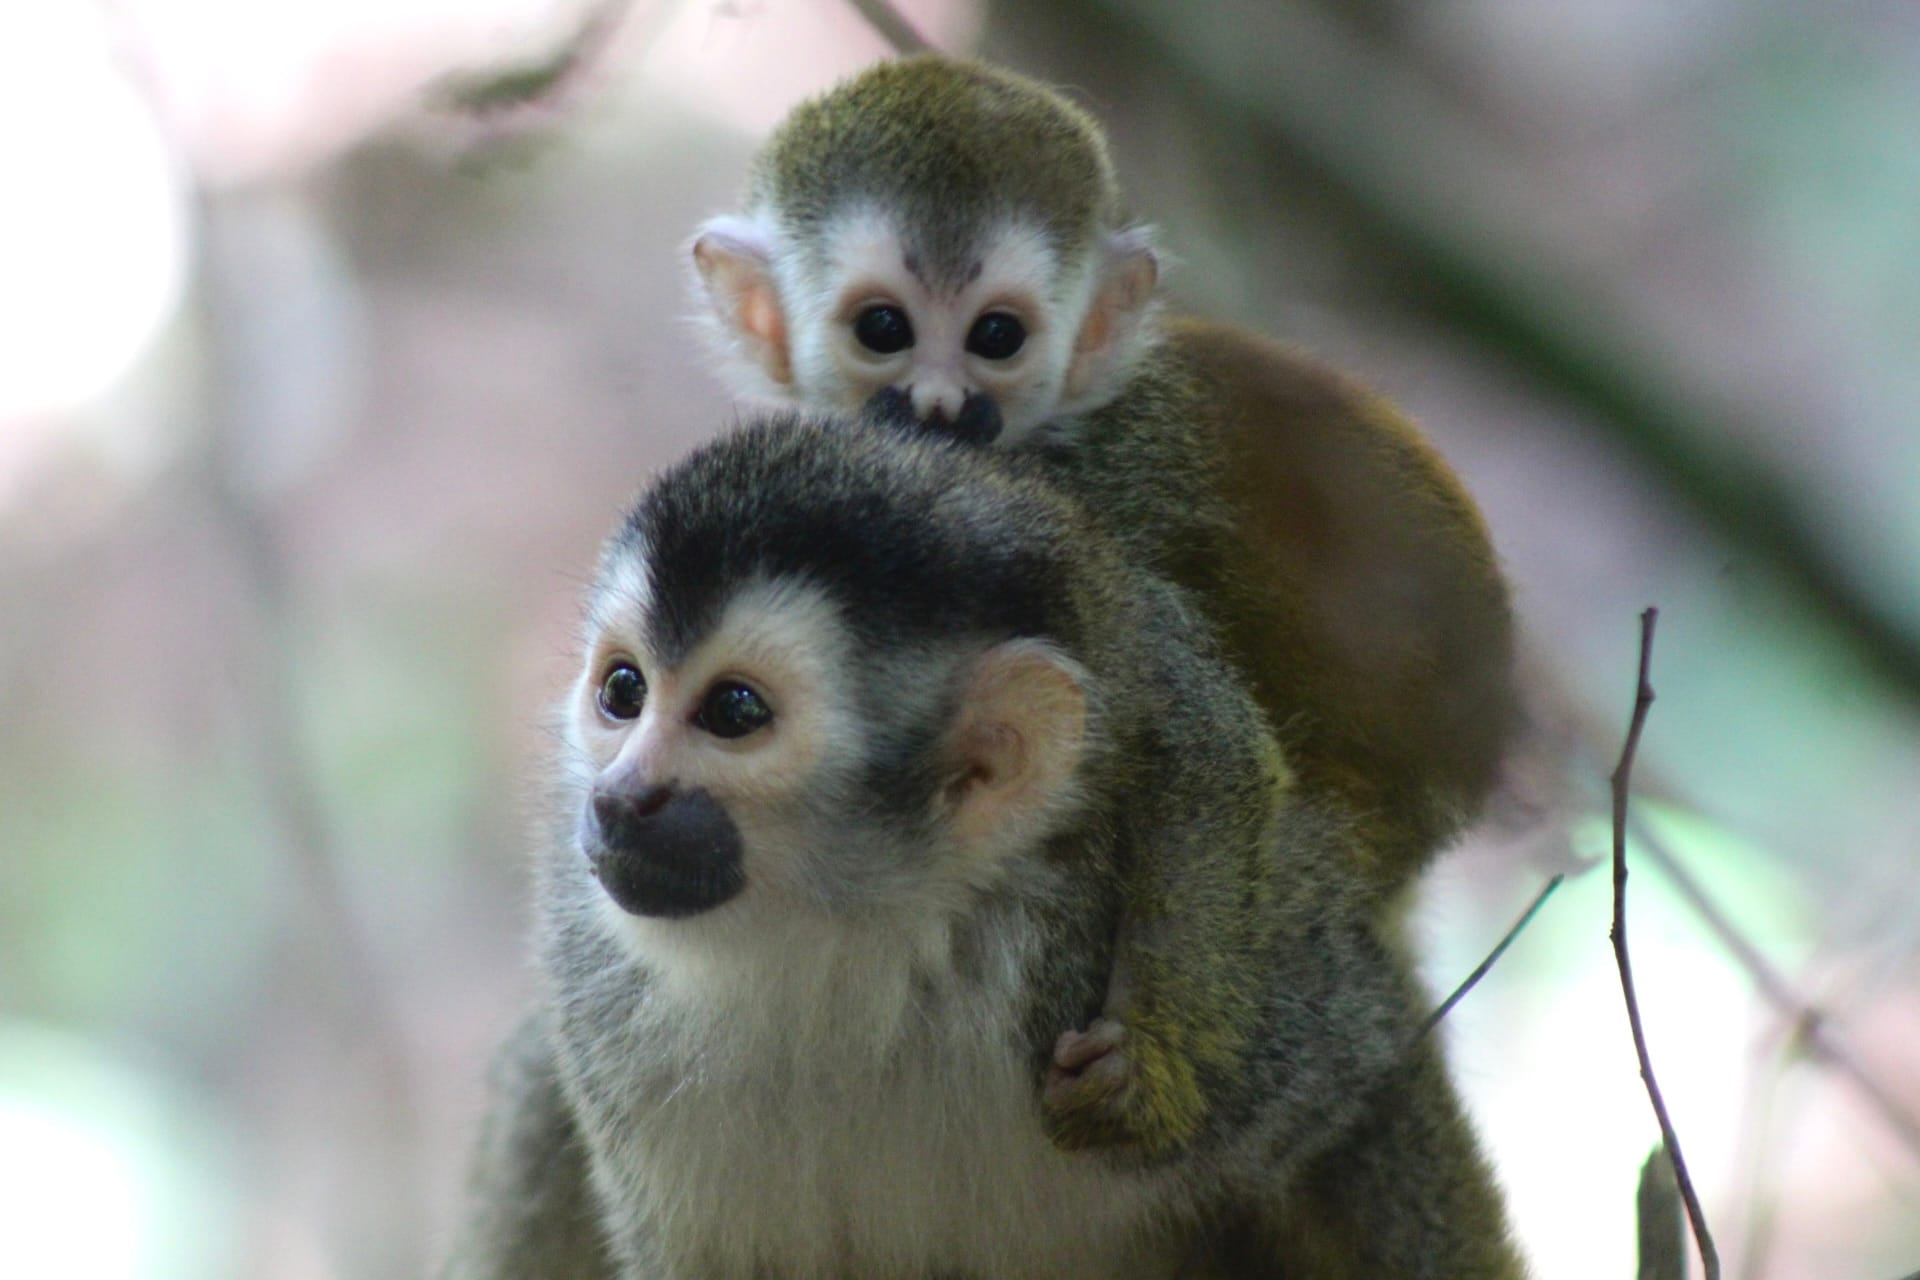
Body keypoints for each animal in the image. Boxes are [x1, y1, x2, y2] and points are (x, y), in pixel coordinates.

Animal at [444, 415, 1526, 1279]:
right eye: (624, 691)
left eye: (734, 713)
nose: (622, 798)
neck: (862, 947)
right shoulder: (601, 1001)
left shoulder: (1231, 1012)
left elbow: (1368, 1082)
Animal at [688, 53, 1517, 1158]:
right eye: (884, 329)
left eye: (997, 336)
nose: (942, 405)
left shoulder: (1083, 516)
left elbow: (1205, 749)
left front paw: (1146, 1074)